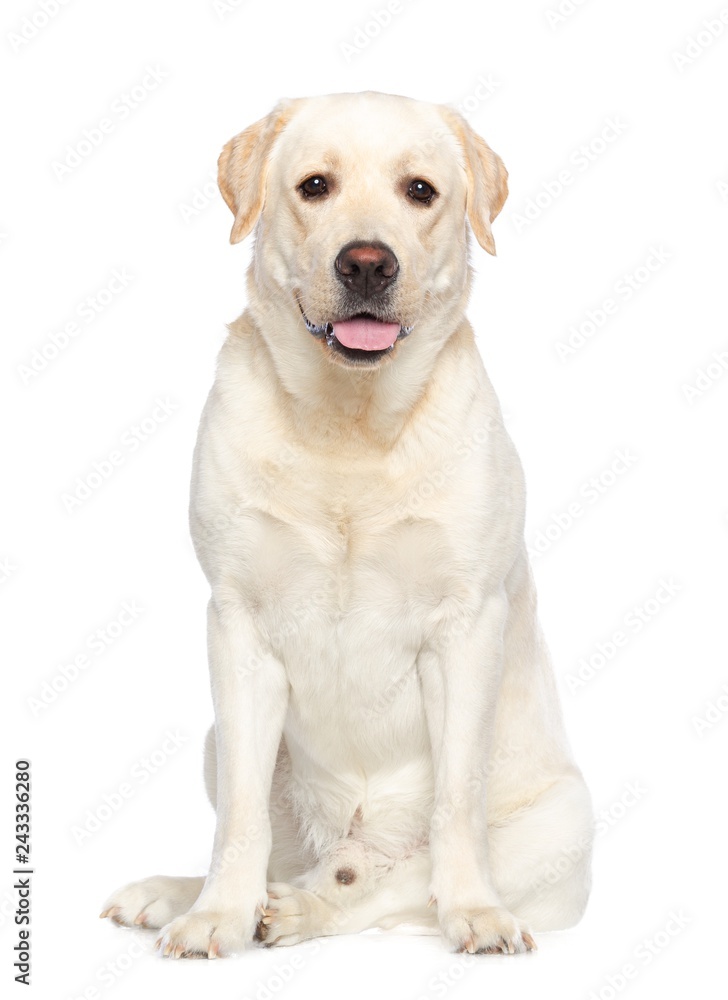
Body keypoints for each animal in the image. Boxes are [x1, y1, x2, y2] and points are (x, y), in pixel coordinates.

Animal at [101, 94, 592, 960]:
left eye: (420, 191)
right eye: (315, 186)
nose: (367, 263)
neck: (350, 428)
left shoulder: (467, 627)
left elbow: (456, 803)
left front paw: (475, 910)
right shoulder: (238, 626)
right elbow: (240, 819)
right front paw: (217, 916)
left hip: (565, 818)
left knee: (383, 883)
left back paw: (307, 909)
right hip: (215, 741)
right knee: (285, 848)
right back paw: (183, 896)